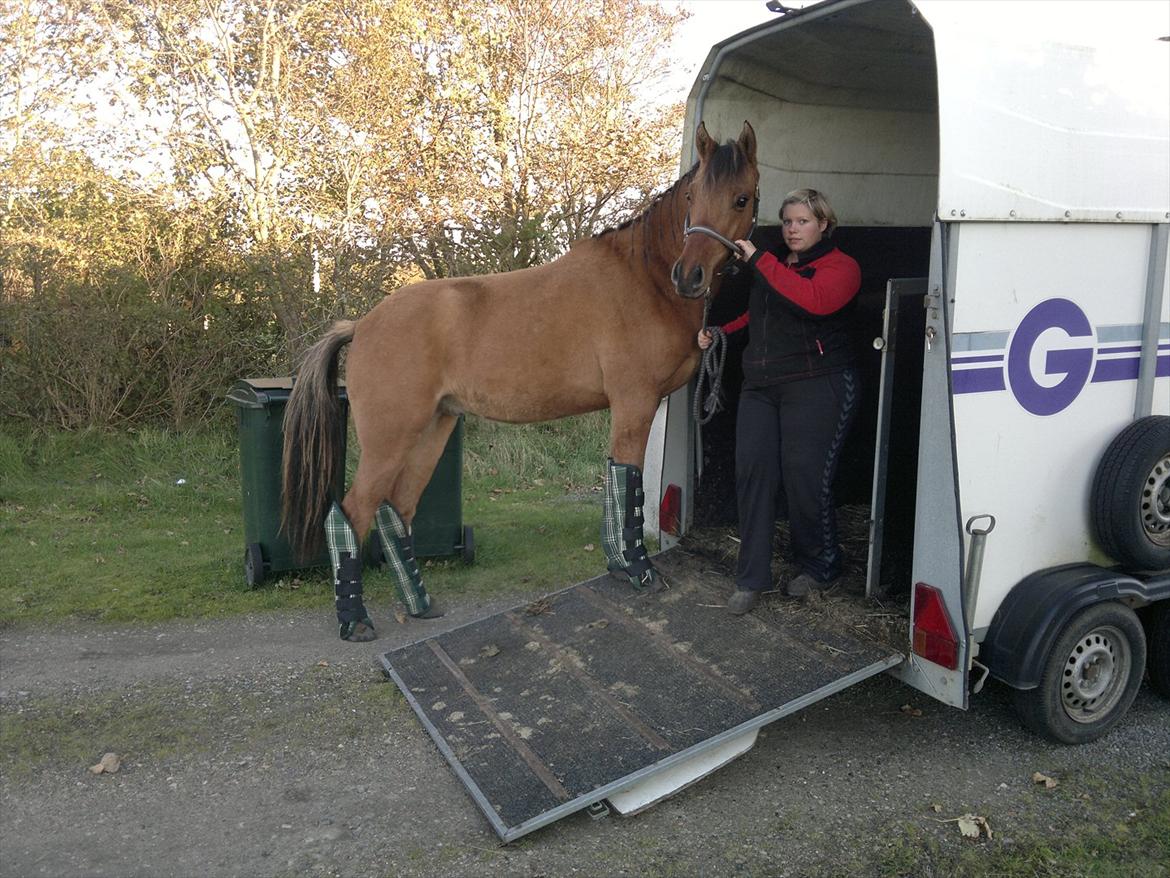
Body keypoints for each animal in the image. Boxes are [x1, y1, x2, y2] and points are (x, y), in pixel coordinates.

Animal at [283, 120, 758, 632]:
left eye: (741, 198)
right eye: (692, 197)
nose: (688, 276)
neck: (645, 279)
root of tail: (361, 325)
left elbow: (617, 481)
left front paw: (619, 564)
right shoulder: (636, 402)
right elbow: (628, 481)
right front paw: (638, 570)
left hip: (434, 427)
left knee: (398, 510)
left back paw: (421, 605)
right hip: (390, 439)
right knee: (352, 513)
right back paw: (355, 622)